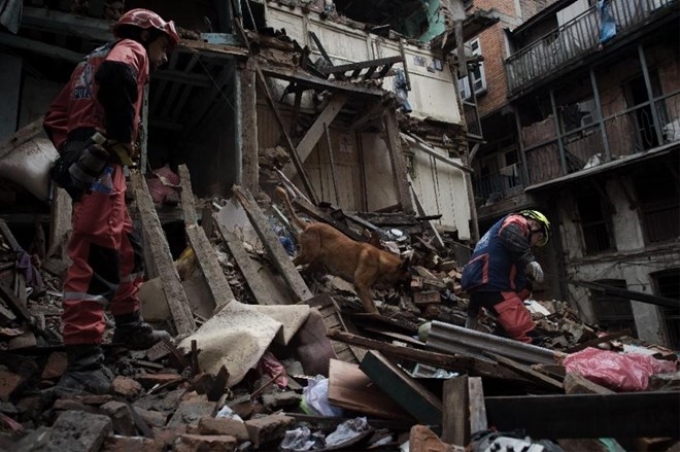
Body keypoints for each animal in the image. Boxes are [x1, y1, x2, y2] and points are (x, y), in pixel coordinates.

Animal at [274, 185, 410, 312]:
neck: (380, 261)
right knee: (294, 263)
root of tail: (308, 226)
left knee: (306, 270)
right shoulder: (361, 286)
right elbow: (372, 308)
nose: (406, 298)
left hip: (320, 263)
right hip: (309, 255)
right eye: (405, 281)